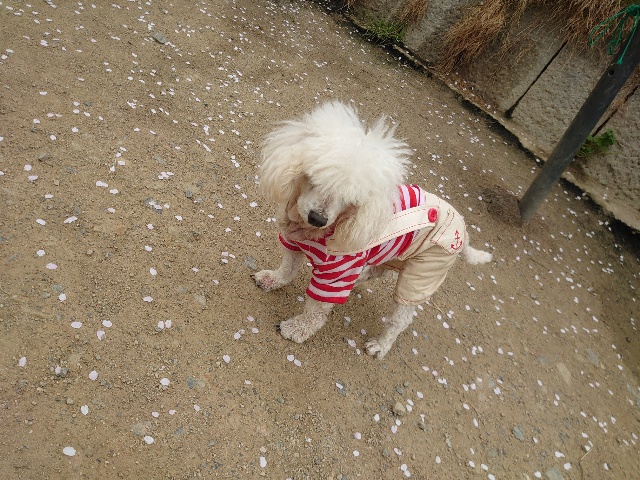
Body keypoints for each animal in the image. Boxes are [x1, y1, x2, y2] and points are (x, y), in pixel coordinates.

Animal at [253, 101, 492, 359]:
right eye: (315, 179)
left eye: (350, 200)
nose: (318, 218)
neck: (312, 233)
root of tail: (462, 228)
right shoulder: (293, 242)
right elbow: (287, 269)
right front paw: (272, 280)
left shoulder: (336, 273)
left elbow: (316, 311)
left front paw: (298, 329)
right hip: (393, 255)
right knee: (378, 271)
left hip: (423, 274)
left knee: (401, 318)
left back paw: (381, 345)